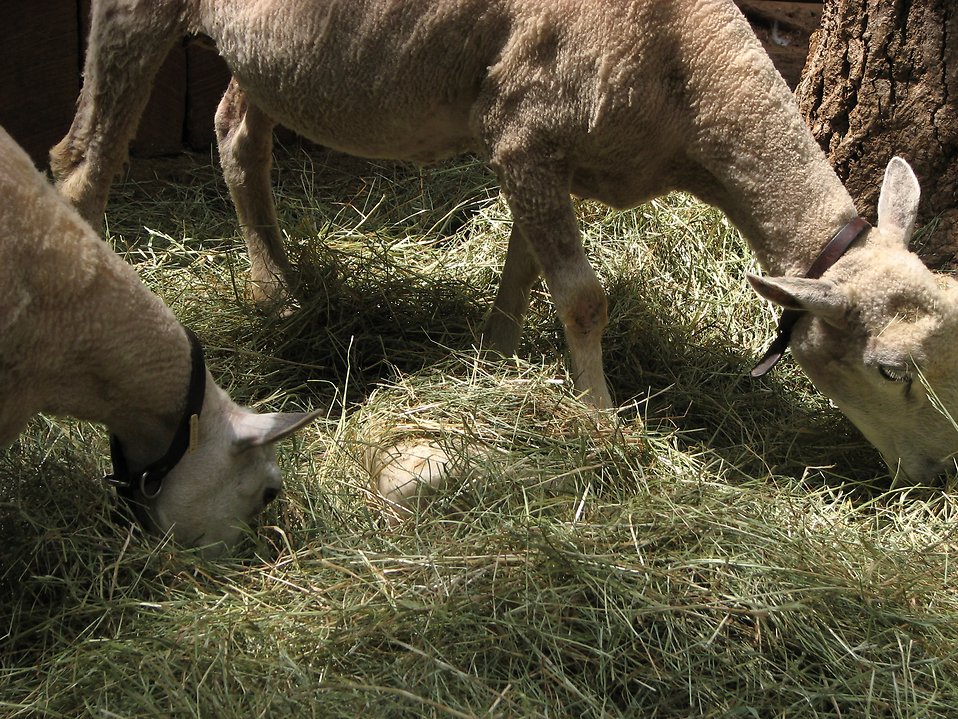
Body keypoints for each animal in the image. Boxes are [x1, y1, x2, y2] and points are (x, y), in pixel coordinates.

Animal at [48, 1, 958, 484]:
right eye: (891, 370)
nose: (942, 473)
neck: (689, 86)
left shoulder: (541, 154)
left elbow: (525, 267)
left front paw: (494, 357)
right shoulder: (525, 129)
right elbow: (584, 298)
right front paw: (605, 429)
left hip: (269, 54)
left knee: (237, 135)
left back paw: (281, 292)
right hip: (135, 16)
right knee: (80, 164)